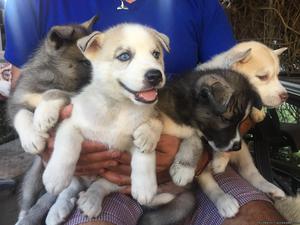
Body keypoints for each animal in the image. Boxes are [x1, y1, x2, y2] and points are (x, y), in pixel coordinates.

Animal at [7, 16, 98, 225]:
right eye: (85, 62)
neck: (52, 77)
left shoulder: (74, 95)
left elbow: (54, 92)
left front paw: (43, 114)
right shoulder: (16, 101)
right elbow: (21, 114)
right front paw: (31, 137)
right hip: (34, 175)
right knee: (28, 198)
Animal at [42, 23, 170, 223]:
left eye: (156, 54)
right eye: (124, 56)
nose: (155, 75)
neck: (118, 108)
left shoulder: (129, 144)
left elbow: (144, 158)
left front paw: (145, 188)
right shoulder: (71, 124)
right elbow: (67, 148)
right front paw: (55, 177)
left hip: (117, 179)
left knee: (101, 186)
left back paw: (90, 200)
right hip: (81, 174)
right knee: (71, 187)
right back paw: (58, 209)